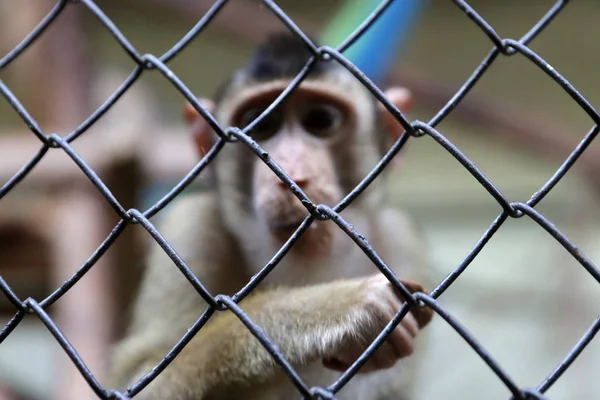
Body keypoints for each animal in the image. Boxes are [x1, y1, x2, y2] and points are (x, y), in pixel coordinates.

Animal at [111, 32, 432, 398]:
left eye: (321, 121)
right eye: (262, 124)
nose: (290, 172)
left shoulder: (401, 243)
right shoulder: (192, 228)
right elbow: (141, 377)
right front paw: (330, 309)